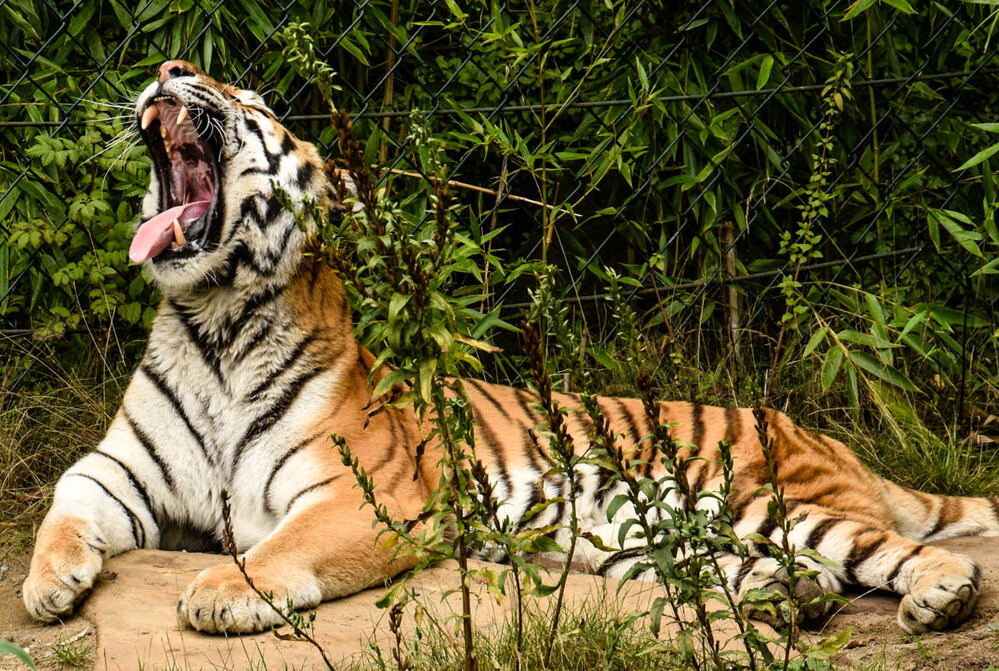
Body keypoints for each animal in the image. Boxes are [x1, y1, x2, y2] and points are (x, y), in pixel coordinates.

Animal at [23, 60, 999, 636]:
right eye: (187, 70)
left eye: (253, 104)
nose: (171, 67)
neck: (214, 324)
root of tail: (820, 433)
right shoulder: (119, 467)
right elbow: (63, 505)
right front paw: (50, 583)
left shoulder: (365, 498)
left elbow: (271, 550)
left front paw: (221, 591)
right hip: (647, 537)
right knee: (795, 571)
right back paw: (789, 599)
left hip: (756, 499)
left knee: (892, 548)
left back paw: (936, 595)